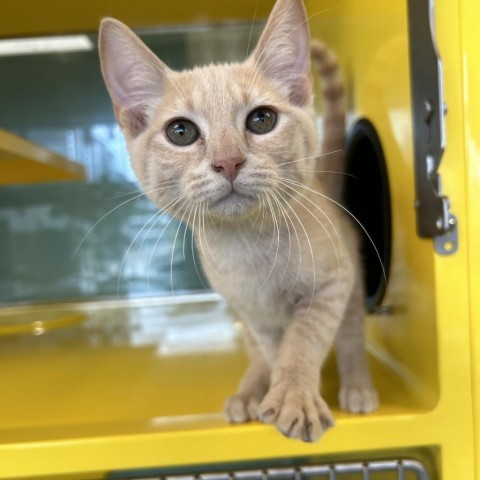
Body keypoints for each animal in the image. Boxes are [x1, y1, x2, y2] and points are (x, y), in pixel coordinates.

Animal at [99, 0, 376, 440]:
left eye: (262, 119)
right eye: (180, 131)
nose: (228, 161)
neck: (248, 246)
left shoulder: (332, 285)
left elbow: (304, 339)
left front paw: (295, 394)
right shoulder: (253, 313)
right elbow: (275, 348)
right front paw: (279, 388)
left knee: (350, 333)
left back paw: (357, 386)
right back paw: (249, 391)